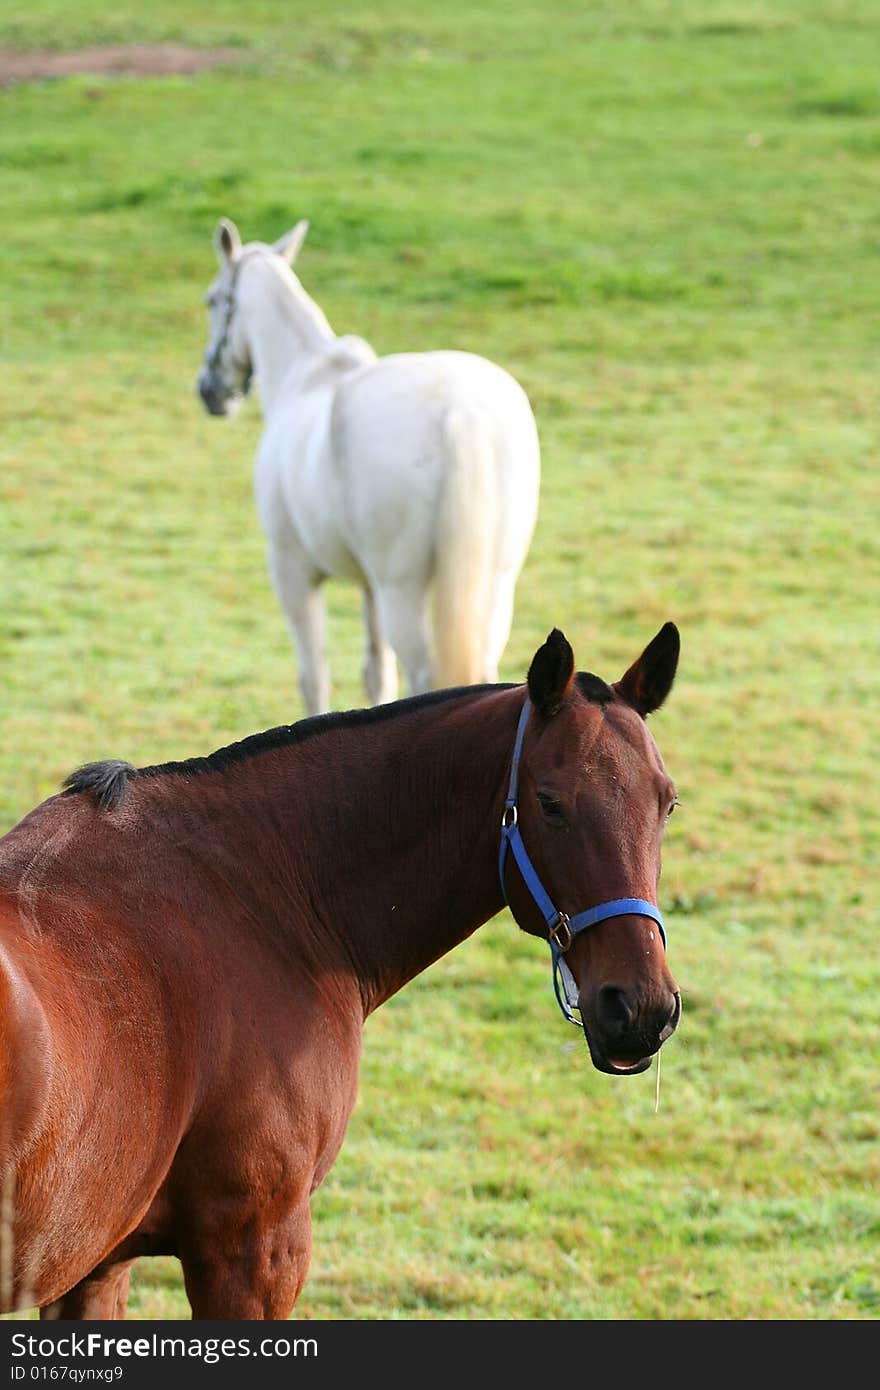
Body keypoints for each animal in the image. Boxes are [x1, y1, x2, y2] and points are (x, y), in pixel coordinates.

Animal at [0, 625, 678, 1317]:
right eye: (549, 804)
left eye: (668, 804)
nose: (641, 1008)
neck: (257, 890)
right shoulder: (253, 1252)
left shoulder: (98, 1266)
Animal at [198, 219, 539, 717]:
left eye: (213, 299)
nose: (210, 391)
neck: (307, 376)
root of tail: (460, 411)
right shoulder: (369, 586)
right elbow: (377, 675)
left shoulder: (293, 572)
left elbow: (314, 677)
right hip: (492, 585)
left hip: (402, 590)